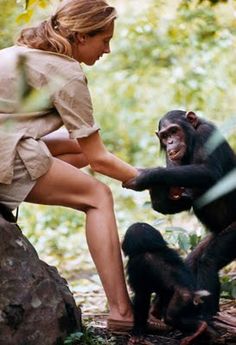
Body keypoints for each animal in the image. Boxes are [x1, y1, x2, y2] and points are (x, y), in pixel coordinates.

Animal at [123, 110, 236, 320]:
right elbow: (178, 202)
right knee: (191, 261)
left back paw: (205, 317)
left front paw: (148, 175)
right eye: (164, 136)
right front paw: (156, 190)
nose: (170, 142)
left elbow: (209, 171)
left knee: (208, 262)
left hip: (234, 231)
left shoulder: (208, 134)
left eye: (174, 130)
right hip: (213, 235)